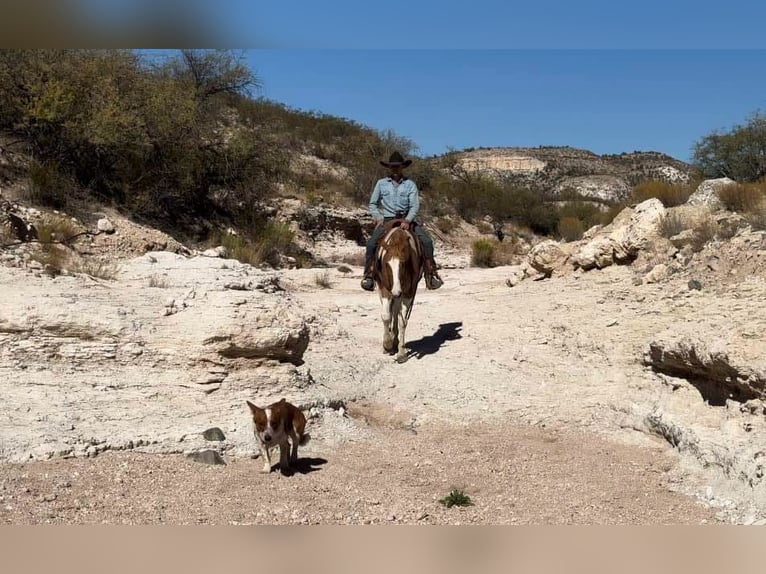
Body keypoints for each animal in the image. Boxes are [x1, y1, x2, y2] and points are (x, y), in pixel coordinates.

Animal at [371, 220, 424, 363]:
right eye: (386, 264)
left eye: (404, 264)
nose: (396, 292)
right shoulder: (385, 289)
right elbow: (386, 316)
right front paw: (387, 344)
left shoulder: (408, 293)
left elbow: (402, 321)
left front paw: (401, 353)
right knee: (392, 311)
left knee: (396, 312)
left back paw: (395, 340)